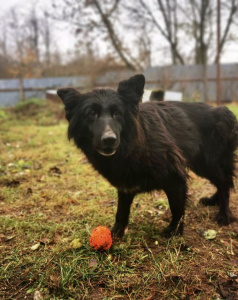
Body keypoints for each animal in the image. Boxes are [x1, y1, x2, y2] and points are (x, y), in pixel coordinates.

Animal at [58, 74, 238, 237]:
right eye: (91, 113)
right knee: (225, 181)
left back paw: (224, 214)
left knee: (224, 182)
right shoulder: (125, 184)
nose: (109, 139)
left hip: (208, 162)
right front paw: (117, 231)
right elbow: (121, 210)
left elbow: (176, 206)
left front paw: (175, 230)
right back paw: (213, 201)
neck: (133, 144)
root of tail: (224, 110)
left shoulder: (175, 176)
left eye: (117, 113)